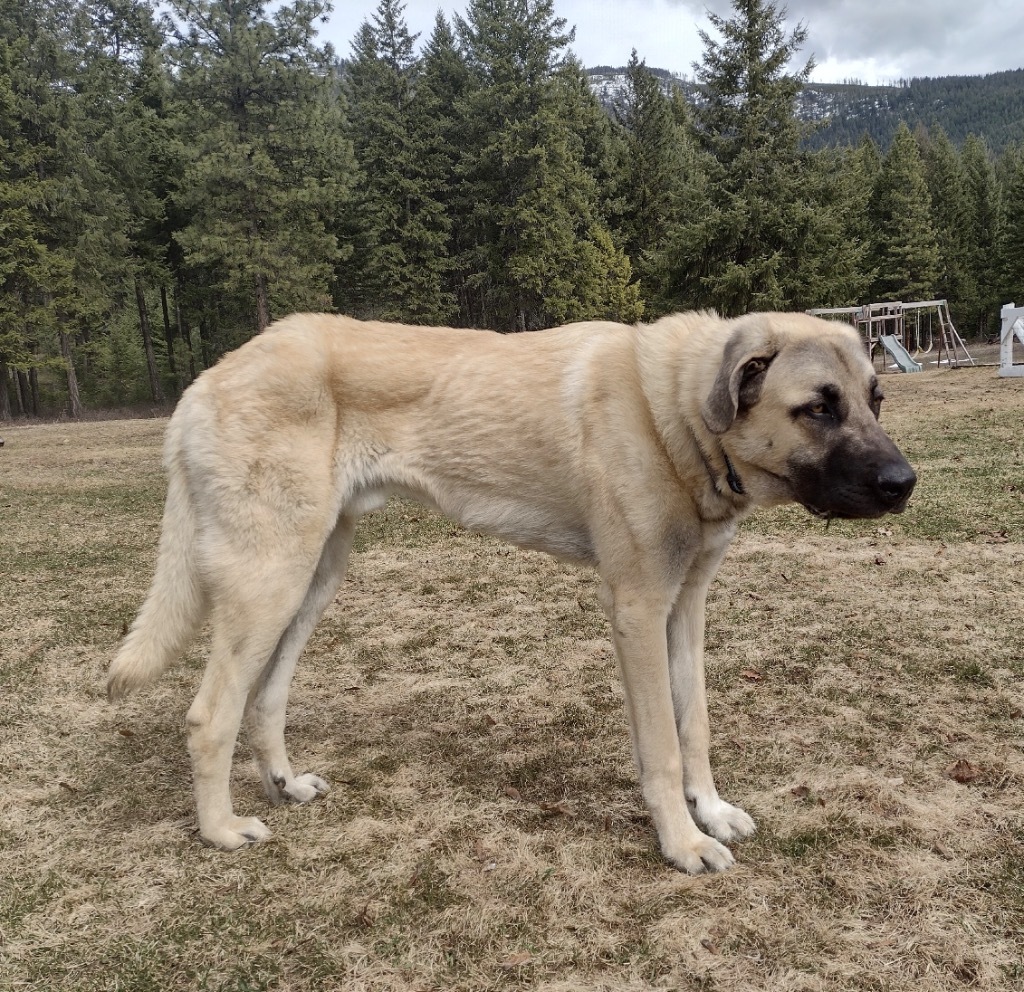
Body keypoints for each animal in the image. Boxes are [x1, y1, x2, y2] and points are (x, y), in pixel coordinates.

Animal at [108, 307, 917, 868]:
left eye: (876, 398)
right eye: (818, 406)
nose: (904, 483)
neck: (675, 413)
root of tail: (206, 379)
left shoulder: (685, 609)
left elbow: (695, 727)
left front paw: (711, 812)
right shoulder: (636, 609)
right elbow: (660, 744)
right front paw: (683, 844)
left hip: (311, 578)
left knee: (264, 696)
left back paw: (284, 784)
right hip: (268, 579)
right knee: (209, 714)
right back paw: (220, 830)